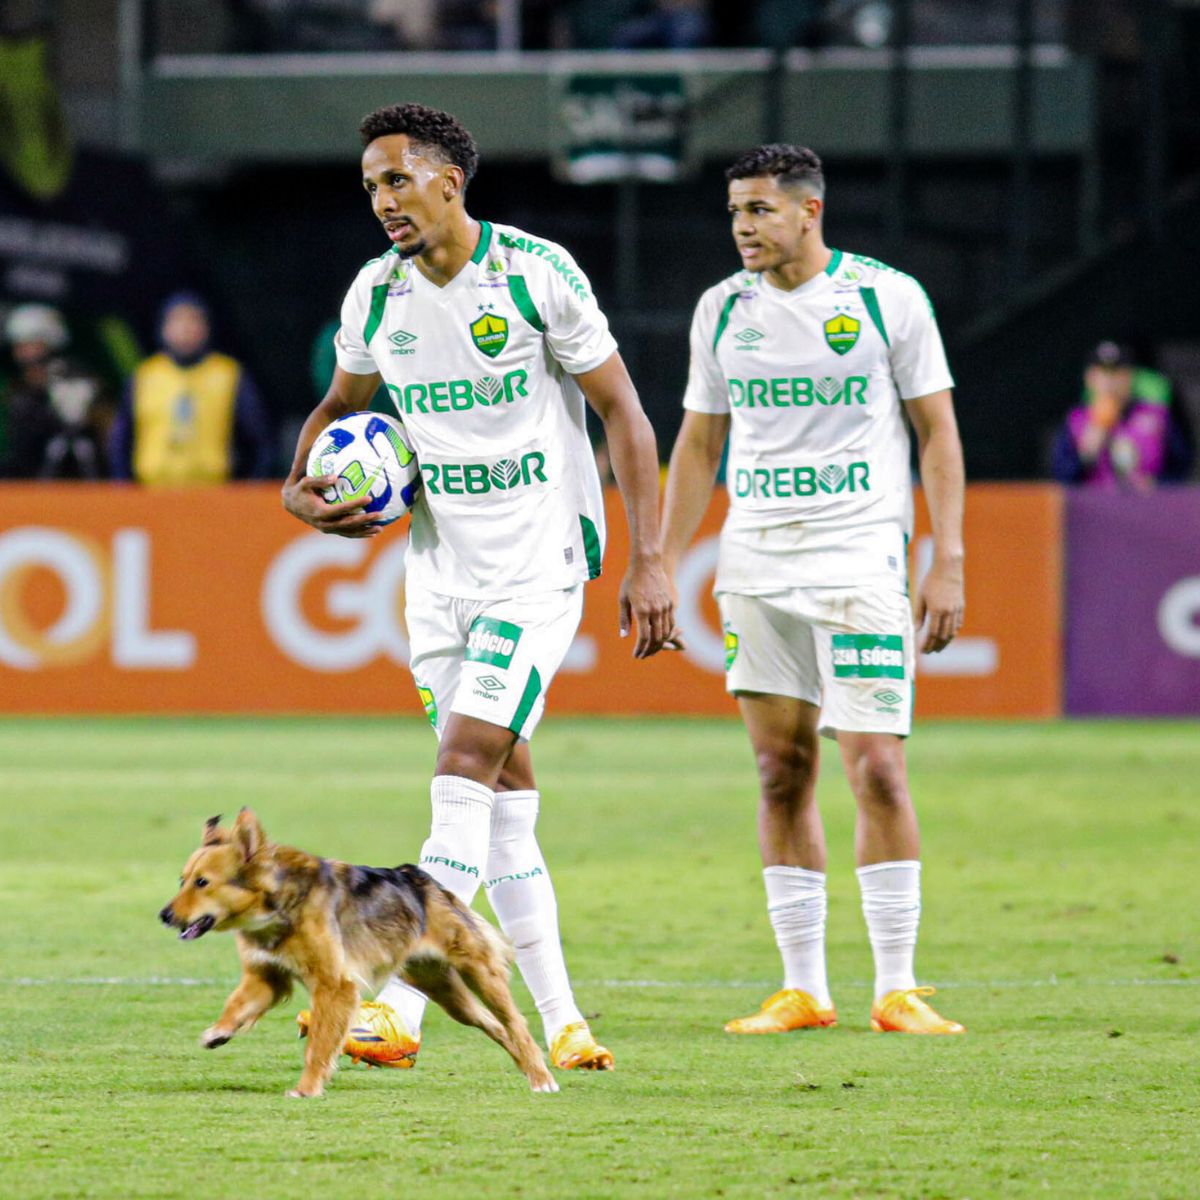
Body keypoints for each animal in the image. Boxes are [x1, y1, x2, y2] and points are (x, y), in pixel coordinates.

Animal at [154, 806, 556, 1099]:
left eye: (203, 882)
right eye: (182, 880)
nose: (164, 915)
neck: (277, 907)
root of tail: (425, 882)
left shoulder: (334, 985)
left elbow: (319, 1043)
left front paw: (307, 1088)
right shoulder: (266, 976)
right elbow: (237, 1005)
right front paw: (219, 1032)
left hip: (479, 972)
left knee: (516, 1025)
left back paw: (541, 1077)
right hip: (444, 989)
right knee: (494, 1025)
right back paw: (527, 1067)